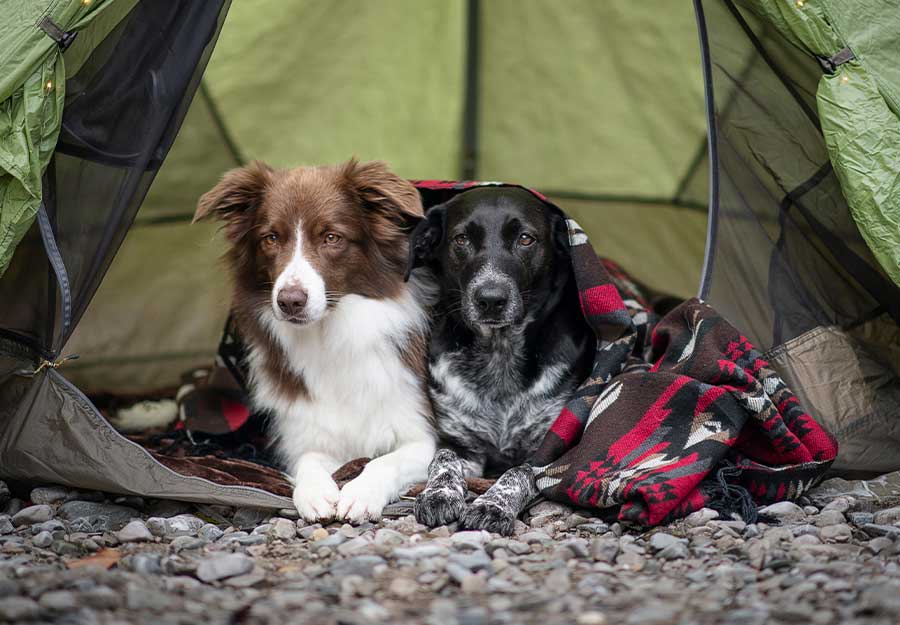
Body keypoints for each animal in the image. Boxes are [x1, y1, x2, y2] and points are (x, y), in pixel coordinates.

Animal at [195, 160, 438, 520]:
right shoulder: (306, 432)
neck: (330, 334)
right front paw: (314, 491)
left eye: (331, 237)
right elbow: (308, 459)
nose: (290, 301)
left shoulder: (426, 435)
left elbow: (385, 461)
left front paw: (361, 493)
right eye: (270, 238)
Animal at [404, 185, 596, 532]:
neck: (499, 353)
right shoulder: (460, 443)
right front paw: (438, 494)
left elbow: (517, 473)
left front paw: (492, 505)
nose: (490, 299)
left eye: (525, 238)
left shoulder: (548, 452)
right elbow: (443, 461)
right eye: (461, 239)